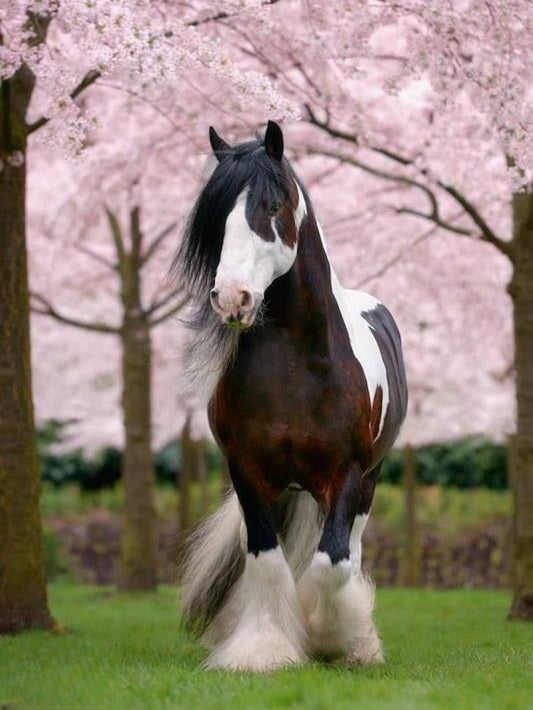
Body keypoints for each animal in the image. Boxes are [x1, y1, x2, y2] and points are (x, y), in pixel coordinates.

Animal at [177, 120, 408, 672]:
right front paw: (262, 649)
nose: (232, 298)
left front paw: (334, 637)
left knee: (352, 551)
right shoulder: (247, 472)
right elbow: (265, 561)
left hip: (369, 482)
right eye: (215, 217)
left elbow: (331, 563)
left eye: (273, 206)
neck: (296, 369)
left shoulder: (346, 474)